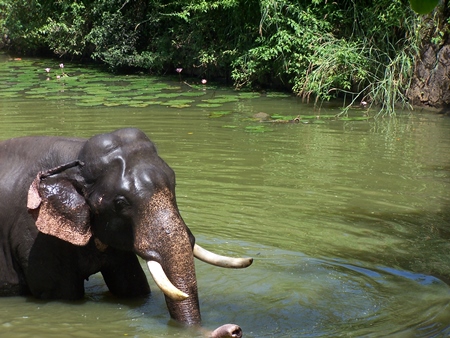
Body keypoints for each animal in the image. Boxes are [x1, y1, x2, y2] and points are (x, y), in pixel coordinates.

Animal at [0, 127, 253, 338]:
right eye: (120, 203)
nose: (234, 330)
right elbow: (61, 294)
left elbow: (133, 286)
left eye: (174, 184)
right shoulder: (35, 236)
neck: (75, 158)